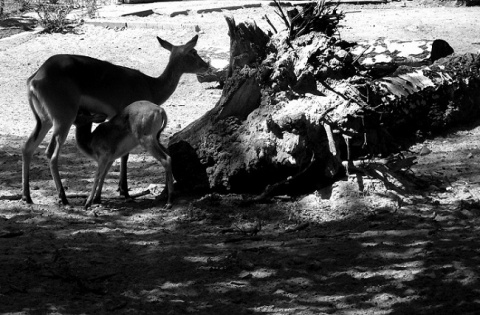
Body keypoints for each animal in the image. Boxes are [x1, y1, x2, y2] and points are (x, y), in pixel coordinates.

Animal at [22, 35, 208, 206]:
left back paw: (27, 197)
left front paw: (118, 190)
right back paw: (63, 198)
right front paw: (123, 191)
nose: (206, 66)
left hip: (44, 121)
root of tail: (34, 78)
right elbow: (124, 155)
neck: (151, 85)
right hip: (63, 120)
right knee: (51, 154)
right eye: (193, 51)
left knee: (27, 148)